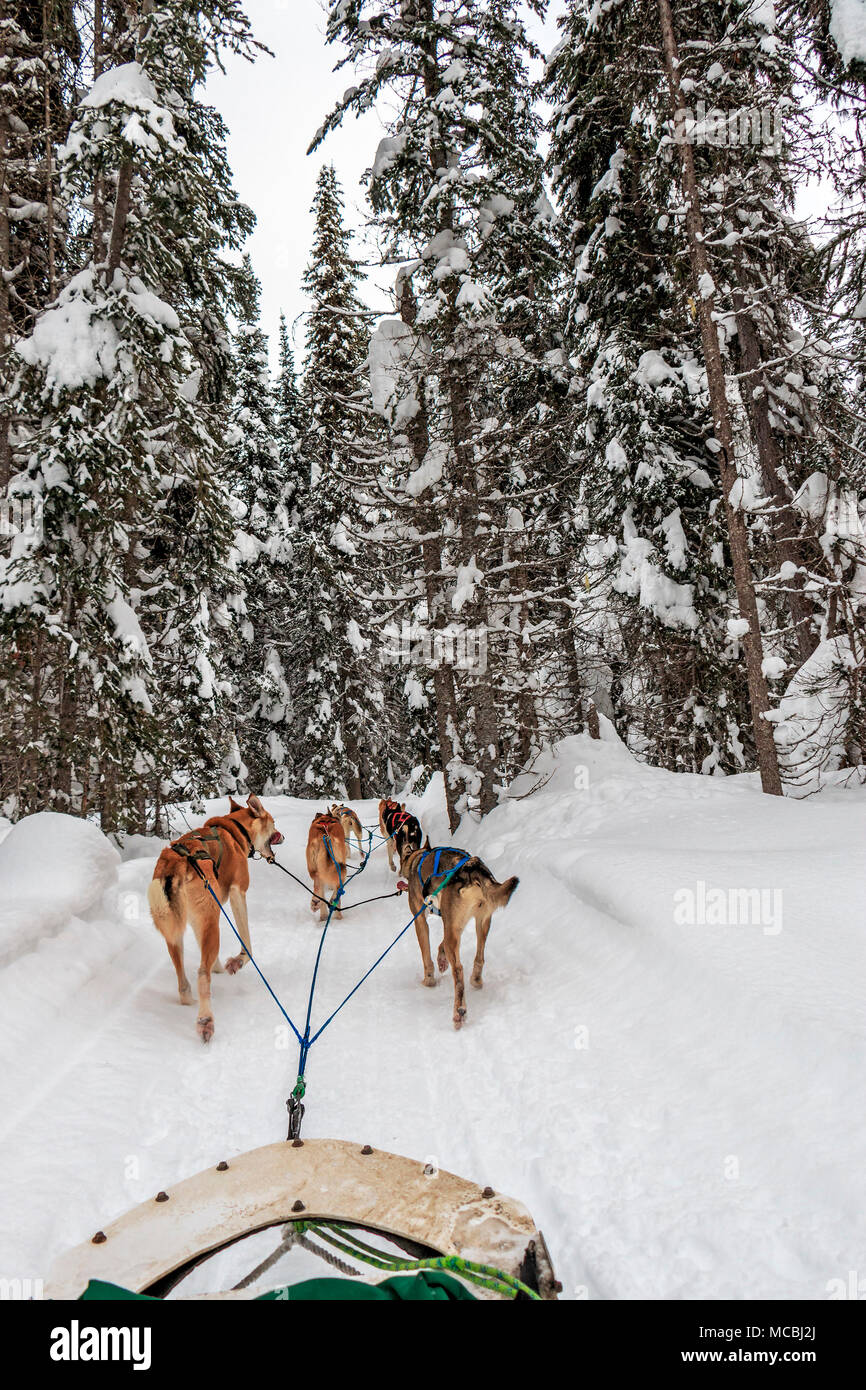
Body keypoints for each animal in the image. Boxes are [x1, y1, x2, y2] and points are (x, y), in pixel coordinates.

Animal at [148, 795, 284, 1045]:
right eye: (273, 822)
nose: (282, 835)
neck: (236, 831)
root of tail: (176, 861)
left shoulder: (201, 920)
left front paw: (219, 966)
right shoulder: (238, 892)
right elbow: (247, 944)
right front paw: (235, 962)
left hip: (177, 933)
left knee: (182, 974)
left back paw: (189, 998)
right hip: (210, 922)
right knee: (202, 974)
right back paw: (205, 1021)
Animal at [397, 839, 517, 1028]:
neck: (419, 858)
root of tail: (471, 868)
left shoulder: (420, 920)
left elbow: (426, 955)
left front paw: (429, 980)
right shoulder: (453, 924)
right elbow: (441, 945)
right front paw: (442, 959)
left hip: (455, 930)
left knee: (458, 971)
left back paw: (459, 1011)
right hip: (481, 923)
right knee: (479, 956)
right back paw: (476, 979)